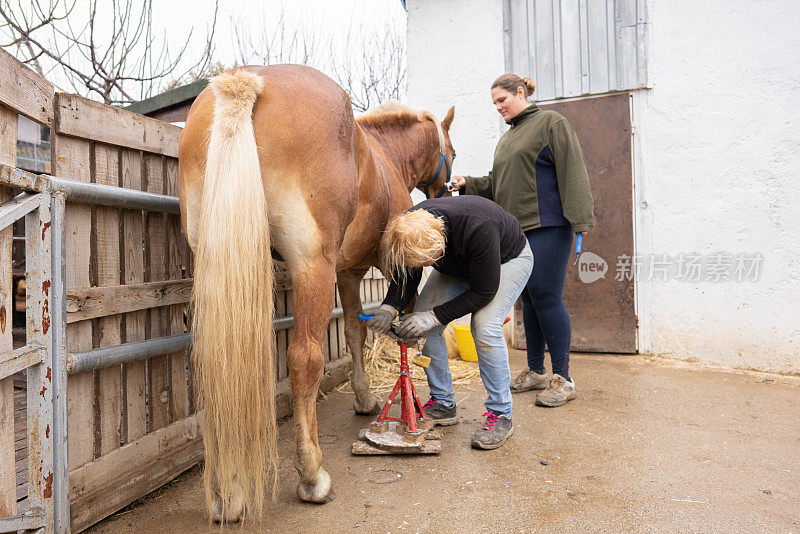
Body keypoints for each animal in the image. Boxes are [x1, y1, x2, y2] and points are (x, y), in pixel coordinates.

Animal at [178, 63, 454, 524]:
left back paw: (226, 494)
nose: (447, 190)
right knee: (304, 358)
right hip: (311, 265)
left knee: (211, 356)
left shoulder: (347, 272)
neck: (384, 155)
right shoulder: (391, 268)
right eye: (448, 147)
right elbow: (398, 329)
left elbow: (357, 332)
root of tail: (245, 83)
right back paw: (312, 477)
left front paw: (364, 397)